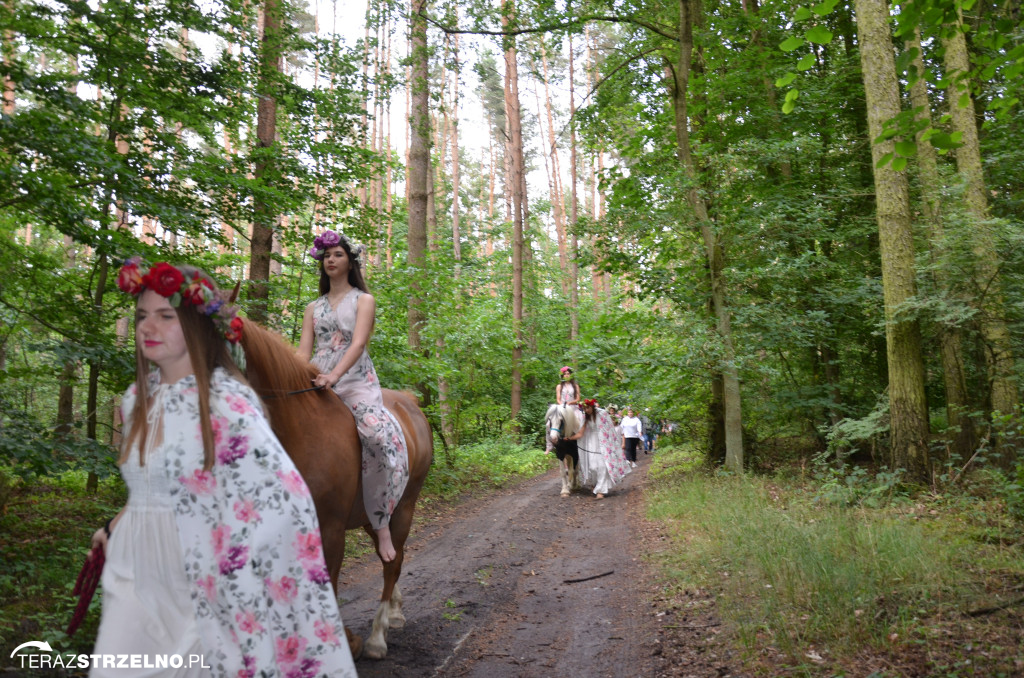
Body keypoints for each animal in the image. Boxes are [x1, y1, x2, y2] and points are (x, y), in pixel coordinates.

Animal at [236, 319, 432, 663]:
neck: (299, 429)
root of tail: (411, 403)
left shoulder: (330, 527)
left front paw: (345, 641)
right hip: (371, 518)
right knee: (391, 554)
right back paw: (394, 612)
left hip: (404, 505)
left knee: (391, 563)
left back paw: (377, 636)